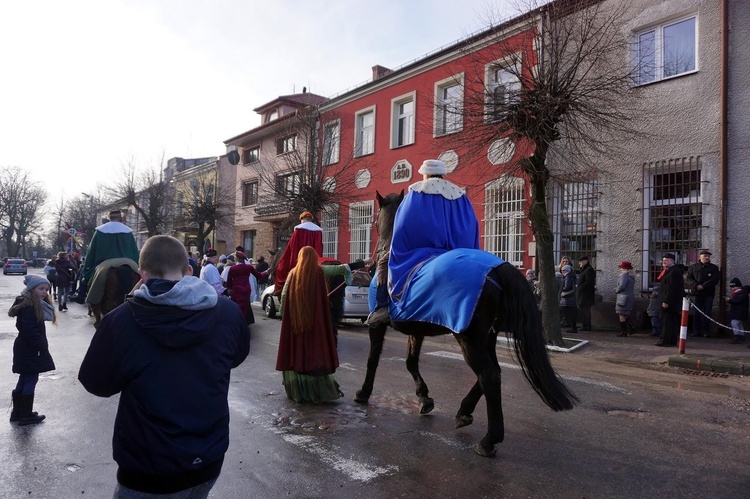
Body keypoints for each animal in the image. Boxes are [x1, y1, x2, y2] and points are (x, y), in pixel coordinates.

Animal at [356, 193, 580, 458]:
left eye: (374, 222)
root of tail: (499, 269)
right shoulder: (416, 330)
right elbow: (411, 362)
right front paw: (424, 398)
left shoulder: (377, 326)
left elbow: (372, 360)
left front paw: (364, 393)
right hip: (487, 336)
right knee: (492, 372)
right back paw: (464, 412)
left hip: (468, 337)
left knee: (489, 374)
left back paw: (489, 439)